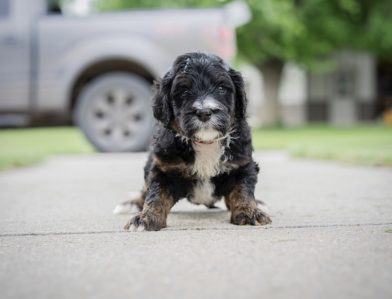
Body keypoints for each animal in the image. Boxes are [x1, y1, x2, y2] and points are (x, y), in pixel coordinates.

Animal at [115, 51, 272, 232]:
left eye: (221, 88)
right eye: (184, 91)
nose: (204, 112)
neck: (206, 142)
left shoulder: (242, 164)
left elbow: (242, 191)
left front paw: (250, 212)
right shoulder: (163, 168)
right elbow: (156, 195)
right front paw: (145, 218)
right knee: (145, 189)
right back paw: (132, 203)